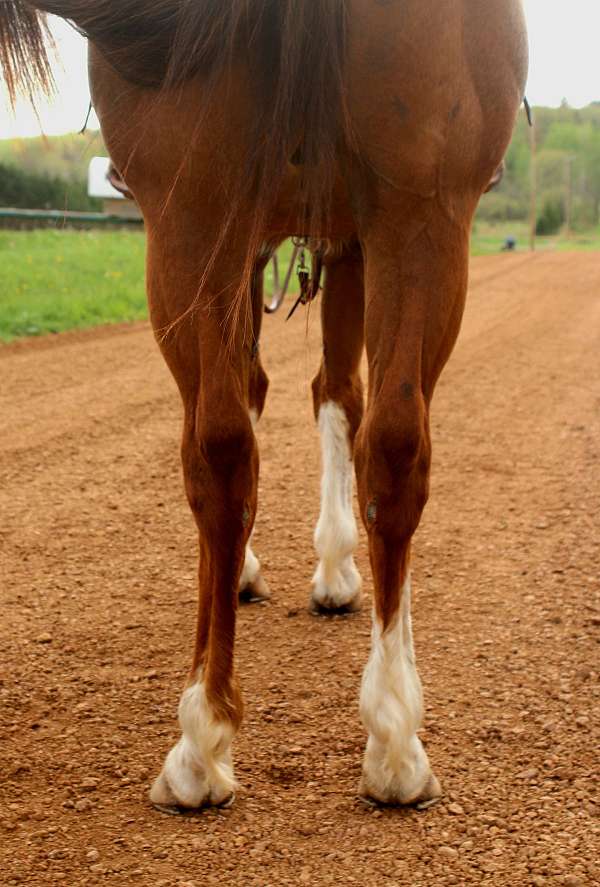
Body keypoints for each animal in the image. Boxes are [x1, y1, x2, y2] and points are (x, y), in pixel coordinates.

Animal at [1, 0, 528, 812]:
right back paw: (391, 739)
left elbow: (301, 396)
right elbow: (331, 396)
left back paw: (206, 738)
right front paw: (330, 567)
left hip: (201, 208)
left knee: (226, 443)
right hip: (405, 212)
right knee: (383, 442)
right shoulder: (342, 233)